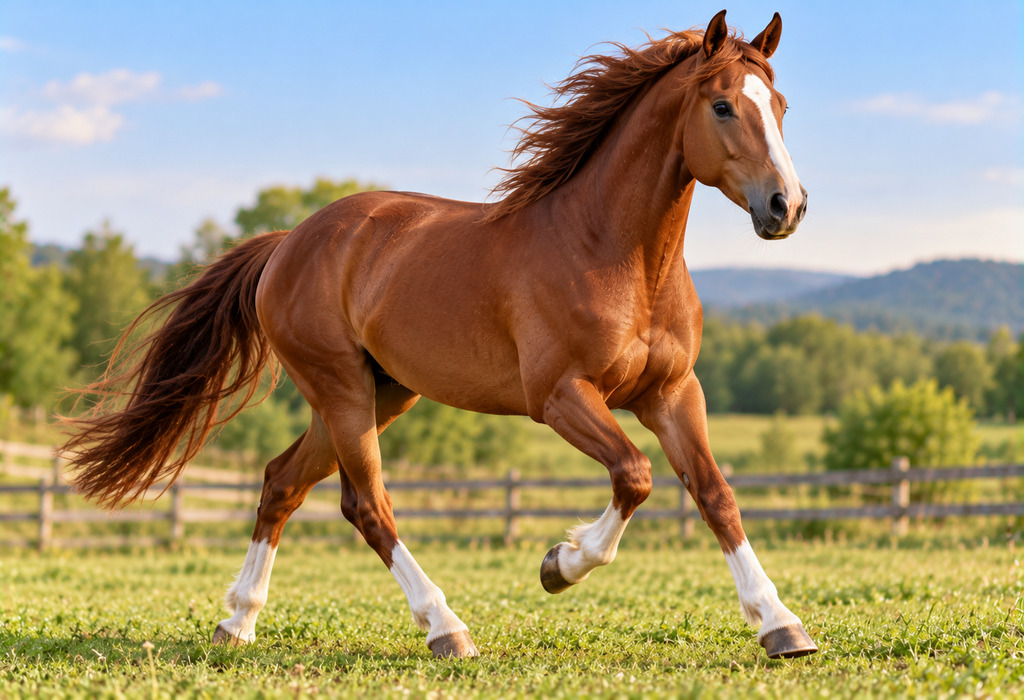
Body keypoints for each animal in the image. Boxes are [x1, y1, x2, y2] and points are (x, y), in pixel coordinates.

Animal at [63, 10, 815, 660]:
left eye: (780, 106)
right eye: (722, 106)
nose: (787, 207)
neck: (611, 251)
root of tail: (287, 244)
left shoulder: (672, 393)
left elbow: (715, 494)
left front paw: (782, 626)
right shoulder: (560, 396)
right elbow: (635, 476)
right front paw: (558, 565)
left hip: (379, 393)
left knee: (282, 484)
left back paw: (237, 622)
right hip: (341, 389)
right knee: (368, 504)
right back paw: (446, 628)